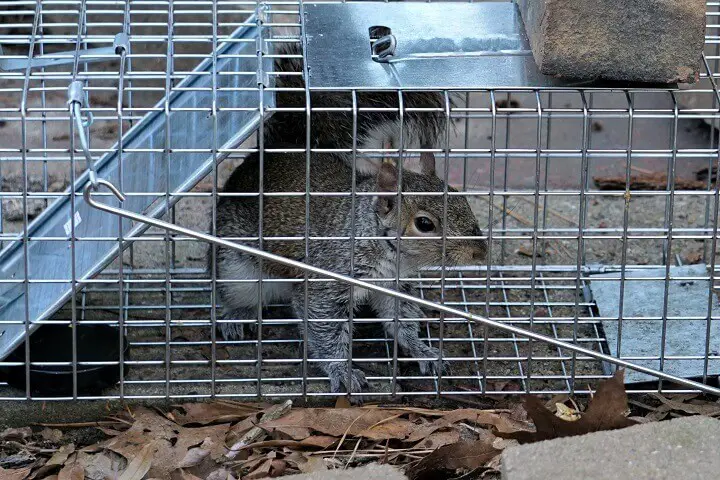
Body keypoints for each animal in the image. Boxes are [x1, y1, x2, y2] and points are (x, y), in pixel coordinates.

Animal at [211, 42, 486, 394]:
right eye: (425, 224)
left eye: (461, 198)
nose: (480, 252)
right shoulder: (327, 279)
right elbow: (325, 327)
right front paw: (343, 371)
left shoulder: (394, 284)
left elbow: (401, 317)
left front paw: (421, 349)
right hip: (235, 269)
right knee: (235, 292)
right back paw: (237, 315)